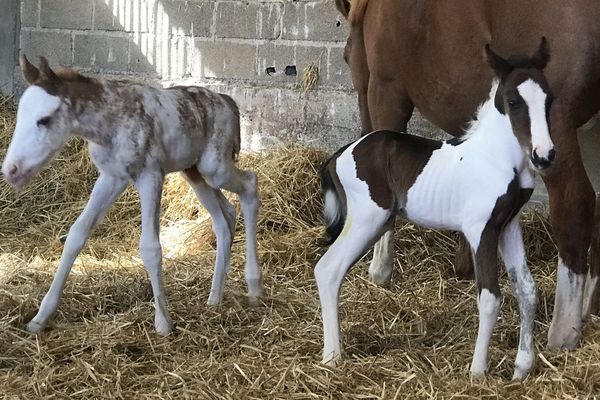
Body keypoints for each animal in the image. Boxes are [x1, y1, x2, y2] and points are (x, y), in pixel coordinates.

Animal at [1, 56, 262, 336]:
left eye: (45, 119)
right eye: (21, 115)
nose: (11, 170)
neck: (110, 123)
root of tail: (228, 101)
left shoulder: (150, 176)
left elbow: (150, 247)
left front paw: (163, 324)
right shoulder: (111, 177)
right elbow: (76, 235)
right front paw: (39, 318)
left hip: (215, 168)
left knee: (250, 186)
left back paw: (254, 286)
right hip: (195, 172)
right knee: (225, 218)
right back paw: (214, 298)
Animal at [316, 43, 556, 378]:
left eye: (550, 99)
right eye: (513, 101)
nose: (544, 156)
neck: (498, 157)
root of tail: (341, 153)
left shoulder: (508, 225)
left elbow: (526, 290)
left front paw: (522, 367)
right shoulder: (481, 230)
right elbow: (490, 297)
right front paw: (478, 372)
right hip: (368, 218)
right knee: (328, 269)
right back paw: (332, 356)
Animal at [338, 0, 600, 350]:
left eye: (346, 56)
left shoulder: (387, 90)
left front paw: (380, 269)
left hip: (555, 132)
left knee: (575, 205)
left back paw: (563, 332)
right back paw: (589, 308)